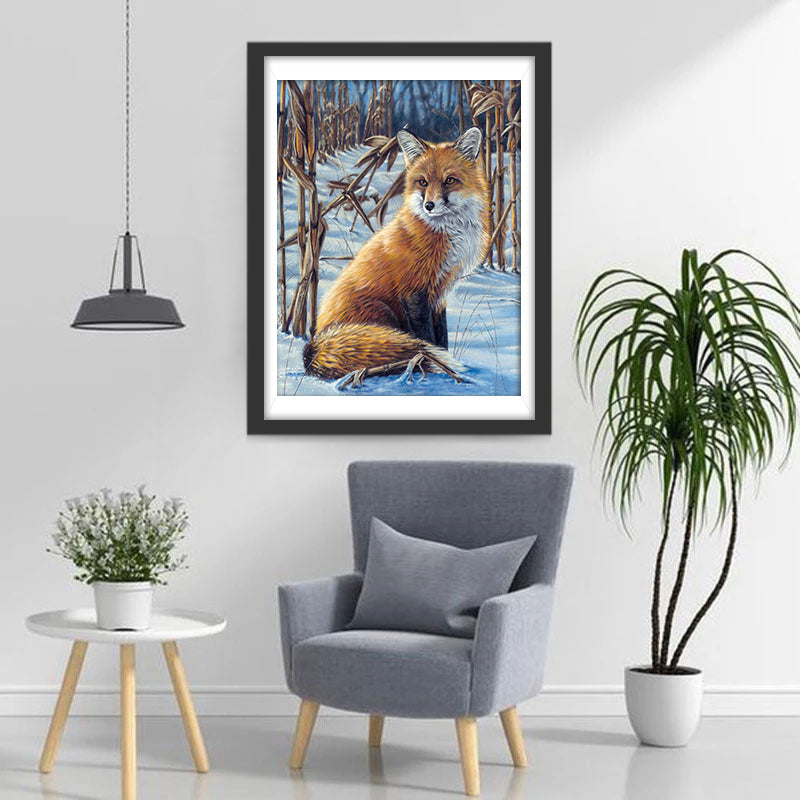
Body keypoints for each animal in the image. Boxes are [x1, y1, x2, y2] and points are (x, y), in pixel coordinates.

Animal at [302, 126, 491, 385]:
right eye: (422, 182)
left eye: (449, 180)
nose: (429, 205)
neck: (446, 233)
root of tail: (314, 345)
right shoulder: (413, 292)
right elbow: (427, 339)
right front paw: (437, 365)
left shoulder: (439, 294)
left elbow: (441, 338)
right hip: (382, 311)